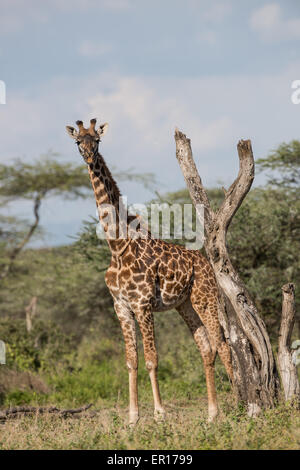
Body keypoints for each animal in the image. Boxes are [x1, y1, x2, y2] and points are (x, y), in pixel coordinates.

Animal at [66, 118, 234, 426]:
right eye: (77, 141)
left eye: (97, 140)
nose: (89, 156)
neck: (117, 246)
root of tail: (205, 262)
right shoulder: (121, 306)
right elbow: (131, 360)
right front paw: (132, 417)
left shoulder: (143, 304)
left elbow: (152, 359)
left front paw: (159, 413)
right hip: (184, 304)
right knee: (206, 347)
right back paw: (212, 412)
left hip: (205, 298)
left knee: (223, 345)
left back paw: (243, 406)